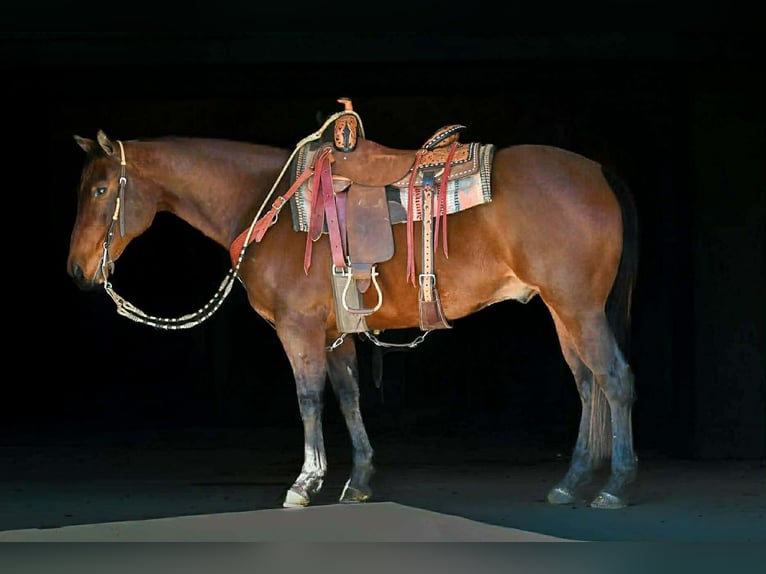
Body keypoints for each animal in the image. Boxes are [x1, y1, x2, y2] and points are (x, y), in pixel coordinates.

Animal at [66, 101, 639, 510]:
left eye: (100, 190)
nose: (76, 270)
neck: (263, 203)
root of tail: (598, 171)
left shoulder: (298, 329)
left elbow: (309, 398)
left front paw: (306, 480)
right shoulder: (334, 330)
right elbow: (348, 396)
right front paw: (359, 477)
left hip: (579, 308)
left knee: (613, 379)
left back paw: (616, 484)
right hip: (563, 310)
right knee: (587, 383)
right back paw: (573, 481)